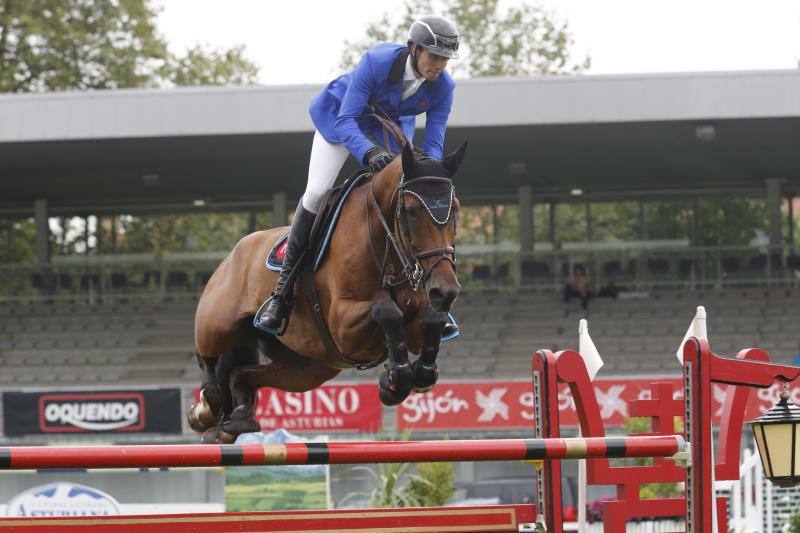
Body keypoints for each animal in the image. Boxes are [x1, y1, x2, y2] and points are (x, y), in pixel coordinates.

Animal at [189, 141, 466, 444]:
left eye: (455, 209)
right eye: (413, 211)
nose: (445, 291)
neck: (385, 248)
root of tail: (233, 253)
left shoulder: (414, 326)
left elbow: (432, 321)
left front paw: (414, 376)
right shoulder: (343, 326)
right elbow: (387, 311)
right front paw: (397, 378)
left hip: (306, 368)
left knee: (241, 374)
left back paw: (238, 418)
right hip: (218, 324)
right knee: (206, 356)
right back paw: (206, 407)